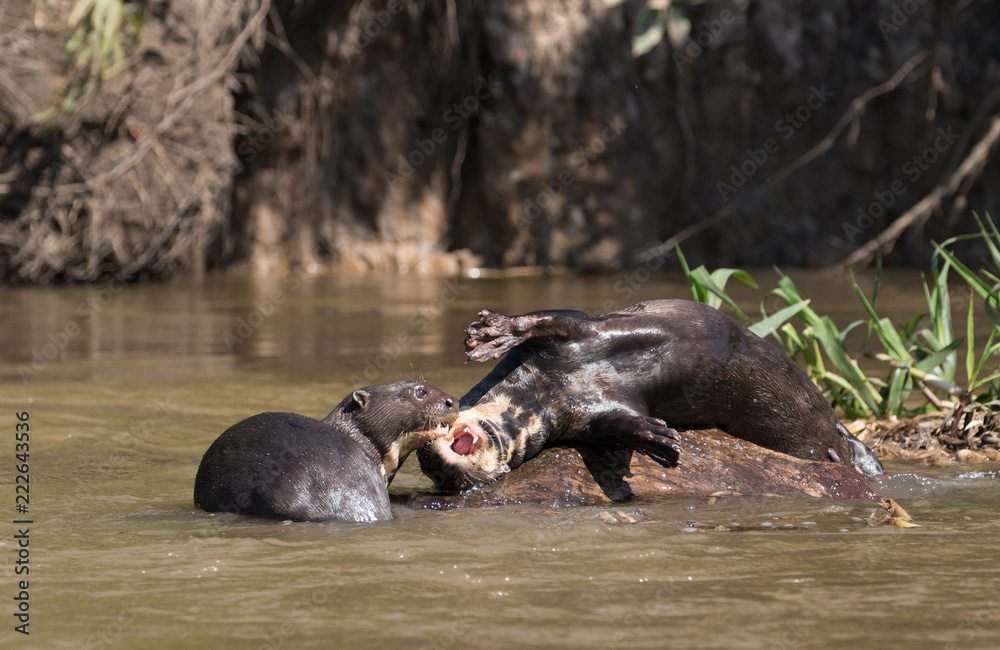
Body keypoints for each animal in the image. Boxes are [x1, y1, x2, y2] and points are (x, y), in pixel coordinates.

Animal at [417, 300, 885, 492]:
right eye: (435, 477)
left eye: (426, 461)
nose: (434, 463)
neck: (541, 394)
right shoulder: (584, 419)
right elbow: (614, 423)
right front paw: (656, 438)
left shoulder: (581, 330)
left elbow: (546, 319)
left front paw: (491, 333)